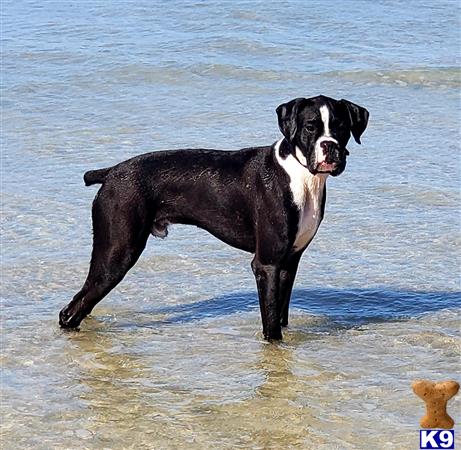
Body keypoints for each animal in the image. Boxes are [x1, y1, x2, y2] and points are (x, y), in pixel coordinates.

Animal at [59, 96, 368, 342]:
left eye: (341, 126)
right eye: (310, 127)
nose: (330, 146)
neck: (299, 175)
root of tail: (111, 172)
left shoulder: (288, 264)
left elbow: (280, 313)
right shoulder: (267, 265)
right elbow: (271, 324)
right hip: (116, 256)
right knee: (70, 311)